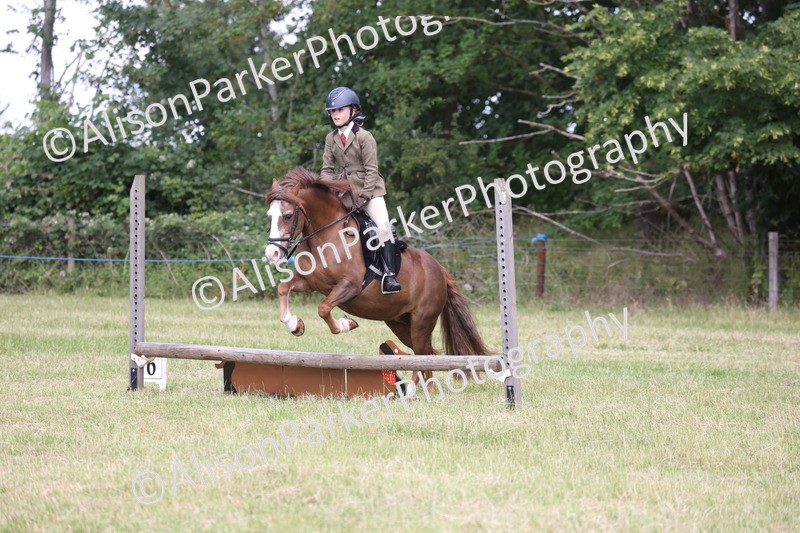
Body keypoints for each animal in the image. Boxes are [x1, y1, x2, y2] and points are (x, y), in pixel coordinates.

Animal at [263, 167, 488, 383]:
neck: (325, 236)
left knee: (423, 354)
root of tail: (440, 270)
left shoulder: (350, 286)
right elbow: (283, 288)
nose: (271, 254)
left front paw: (347, 324)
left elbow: (323, 308)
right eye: (269, 216)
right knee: (424, 355)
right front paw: (295, 325)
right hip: (400, 323)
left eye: (288, 216)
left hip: (422, 321)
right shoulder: (310, 282)